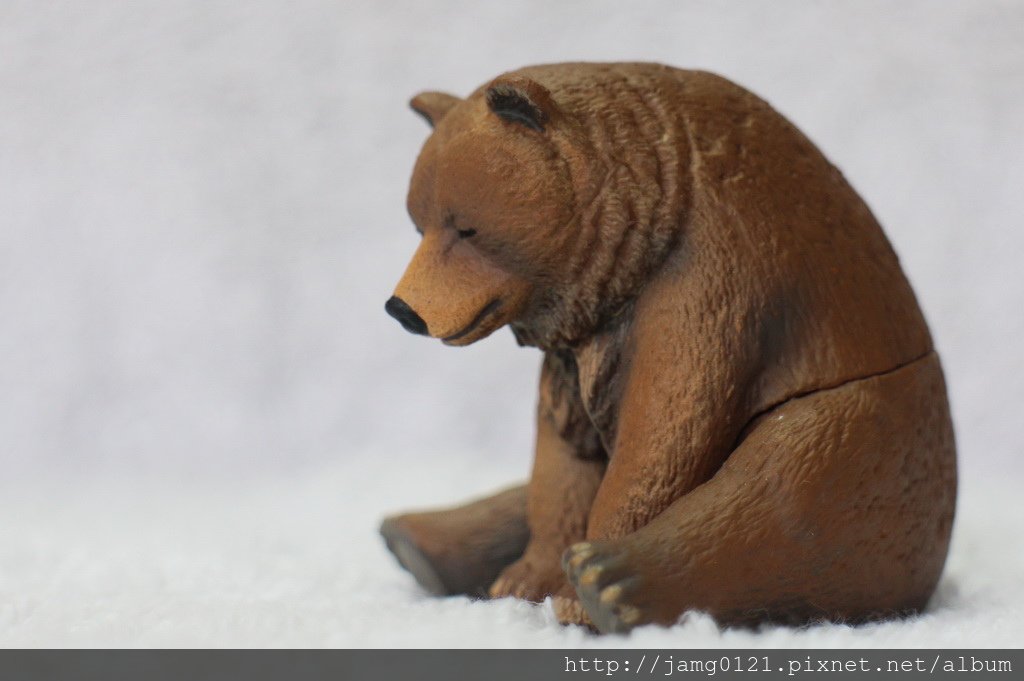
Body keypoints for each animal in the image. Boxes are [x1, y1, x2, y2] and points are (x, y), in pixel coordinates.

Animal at [380, 63, 954, 630]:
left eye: (467, 228)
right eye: (418, 224)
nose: (402, 309)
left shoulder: (710, 271)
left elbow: (666, 427)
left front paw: (573, 591)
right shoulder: (576, 343)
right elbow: (564, 451)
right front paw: (527, 578)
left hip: (875, 422)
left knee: (790, 483)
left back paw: (611, 583)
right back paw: (416, 540)